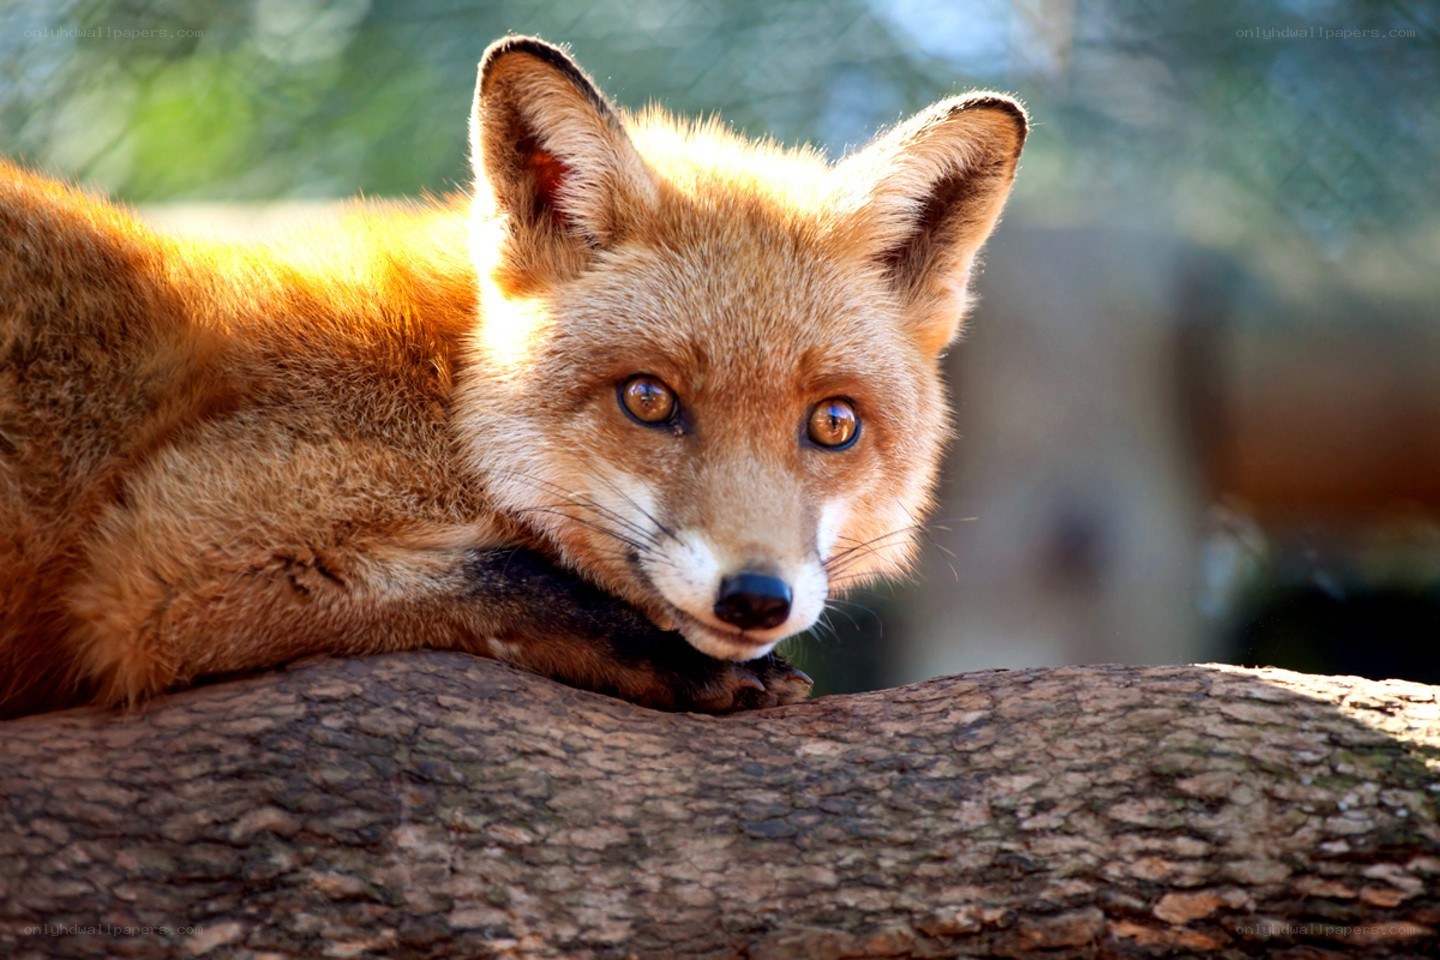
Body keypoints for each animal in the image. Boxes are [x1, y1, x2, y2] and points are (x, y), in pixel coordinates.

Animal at [0, 37, 1026, 719]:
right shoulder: (170, 561)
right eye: (648, 400)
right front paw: (678, 662)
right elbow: (512, 572)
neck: (442, 391)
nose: (756, 600)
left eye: (833, 424)